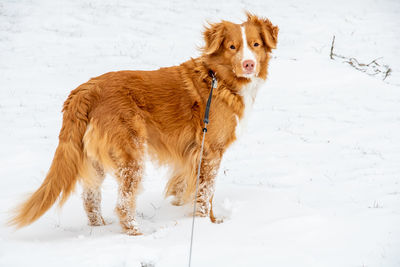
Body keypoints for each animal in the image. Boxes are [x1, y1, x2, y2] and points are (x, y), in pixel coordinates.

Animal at [9, 13, 278, 236]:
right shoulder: (210, 150)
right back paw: (137, 234)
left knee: (90, 197)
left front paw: (180, 207)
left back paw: (100, 228)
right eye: (233, 47)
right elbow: (205, 192)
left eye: (255, 45)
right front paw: (207, 223)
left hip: (95, 158)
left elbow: (185, 185)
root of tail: (86, 90)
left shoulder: (191, 153)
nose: (249, 64)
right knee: (123, 202)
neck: (217, 78)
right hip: (132, 155)